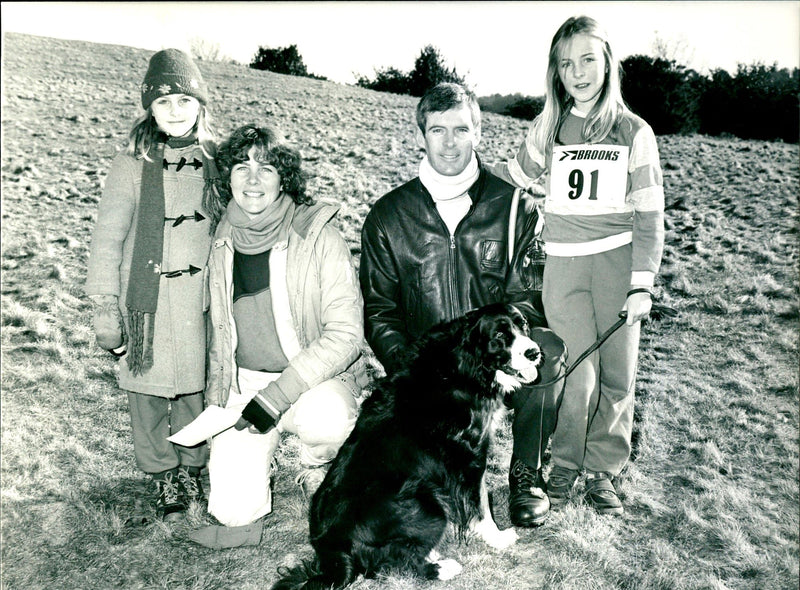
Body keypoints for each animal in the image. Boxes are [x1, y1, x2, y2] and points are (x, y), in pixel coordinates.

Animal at [272, 306, 540, 590]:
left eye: (523, 324)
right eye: (499, 335)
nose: (534, 353)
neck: (461, 363)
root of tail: (331, 547)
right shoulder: (469, 457)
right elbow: (481, 503)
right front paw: (496, 537)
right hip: (427, 500)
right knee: (395, 562)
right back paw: (441, 567)